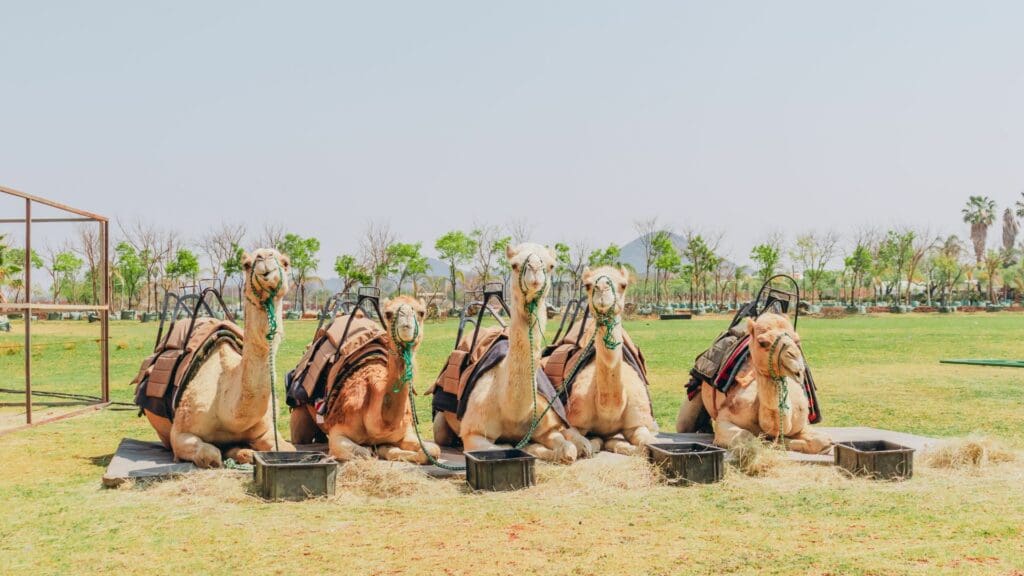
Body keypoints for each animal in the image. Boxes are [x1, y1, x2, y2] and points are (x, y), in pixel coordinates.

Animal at [138, 248, 295, 468]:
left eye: (286, 262)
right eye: (246, 264)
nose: (265, 258)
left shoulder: (267, 431)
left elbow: (288, 448)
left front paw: (244, 451)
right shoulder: (180, 433)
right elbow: (211, 455)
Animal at [289, 296, 441, 464]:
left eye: (422, 312)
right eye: (388, 313)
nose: (406, 324)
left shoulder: (405, 433)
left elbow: (433, 450)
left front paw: (385, 448)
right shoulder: (338, 433)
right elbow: (366, 453)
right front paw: (375, 449)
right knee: (300, 436)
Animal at [431, 242, 592, 464]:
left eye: (551, 266)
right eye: (514, 265)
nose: (534, 270)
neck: (512, 411)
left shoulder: (546, 426)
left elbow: (567, 449)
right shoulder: (473, 432)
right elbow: (507, 446)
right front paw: (531, 447)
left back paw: (585, 444)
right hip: (441, 424)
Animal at [553, 266, 659, 455]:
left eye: (624, 285)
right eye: (587, 285)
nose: (602, 288)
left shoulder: (637, 423)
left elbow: (645, 444)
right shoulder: (573, 418)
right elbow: (584, 446)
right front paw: (596, 442)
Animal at [676, 313, 832, 454]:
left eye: (797, 341)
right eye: (762, 342)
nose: (796, 363)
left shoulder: (801, 423)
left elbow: (823, 441)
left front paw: (779, 442)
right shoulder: (725, 417)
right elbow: (747, 438)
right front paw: (769, 442)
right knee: (684, 425)